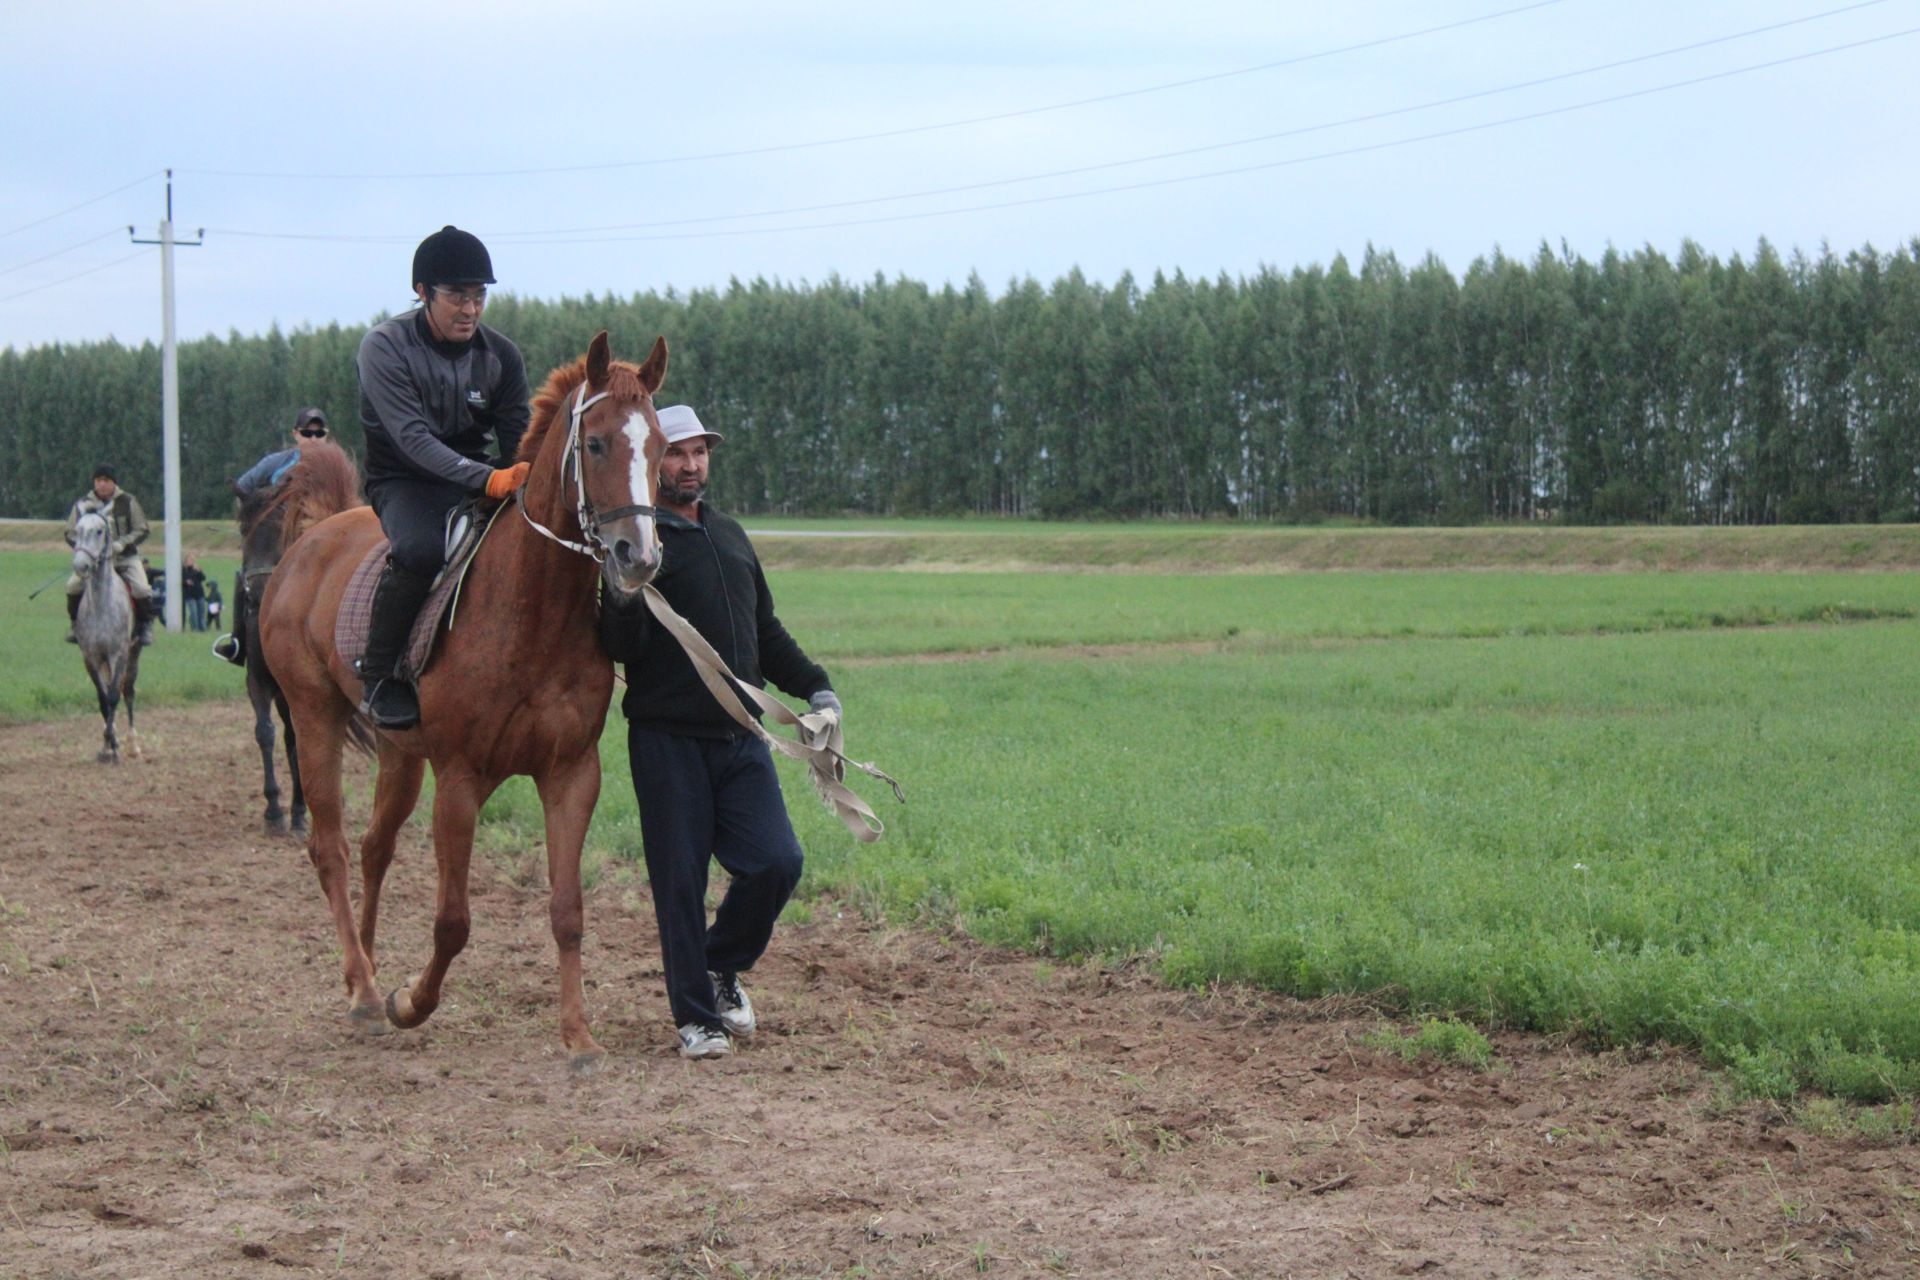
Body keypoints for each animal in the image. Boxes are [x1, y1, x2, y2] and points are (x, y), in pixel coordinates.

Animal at [69, 510, 141, 767]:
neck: (101, 604)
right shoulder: (91, 658)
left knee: (128, 692)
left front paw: (117, 749)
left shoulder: (118, 655)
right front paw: (107, 747)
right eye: (77, 530)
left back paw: (133, 745)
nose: (81, 565)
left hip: (133, 654)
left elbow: (113, 697)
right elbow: (102, 699)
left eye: (100, 531)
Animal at [237, 441, 366, 840]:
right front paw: (274, 809)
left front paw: (297, 811)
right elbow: (265, 733)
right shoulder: (258, 679)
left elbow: (296, 741)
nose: (257, 590)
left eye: (282, 527)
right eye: (244, 529)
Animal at [263, 333, 668, 1074]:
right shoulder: (459, 778)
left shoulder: (572, 775)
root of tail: (314, 540)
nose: (638, 556)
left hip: (398, 753)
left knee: (375, 848)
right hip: (313, 721)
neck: (534, 610)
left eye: (656, 445)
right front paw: (410, 1003)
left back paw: (363, 971)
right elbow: (452, 921)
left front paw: (578, 1036)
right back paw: (367, 991)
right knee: (331, 848)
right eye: (596, 443)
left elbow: (568, 909)